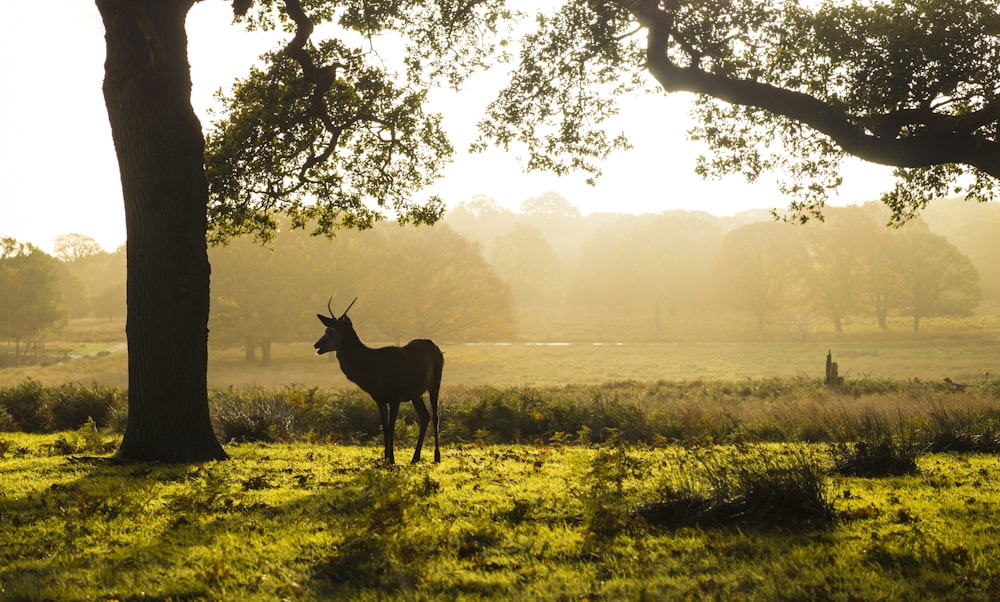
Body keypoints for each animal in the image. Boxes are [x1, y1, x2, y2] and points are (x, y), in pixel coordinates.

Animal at [314, 298, 444, 462]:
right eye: (326, 330)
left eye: (330, 332)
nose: (316, 345)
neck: (373, 373)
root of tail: (436, 348)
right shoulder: (379, 398)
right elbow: (384, 427)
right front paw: (386, 458)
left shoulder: (395, 396)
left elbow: (392, 427)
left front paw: (392, 460)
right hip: (416, 393)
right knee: (425, 416)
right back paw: (415, 458)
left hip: (435, 383)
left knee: (435, 416)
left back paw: (437, 456)